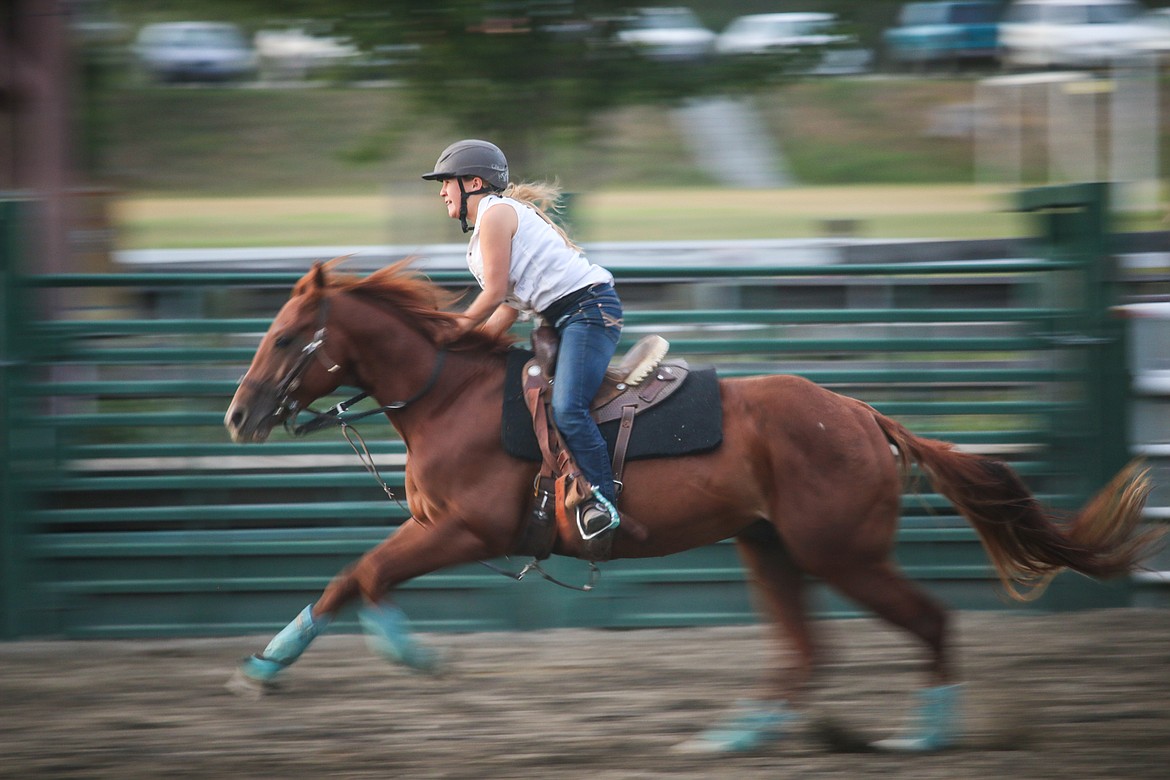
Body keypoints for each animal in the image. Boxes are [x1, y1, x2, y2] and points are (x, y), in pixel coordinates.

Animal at [225, 260, 1151, 748]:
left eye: (285, 336)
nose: (238, 415)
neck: (448, 396)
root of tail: (860, 415)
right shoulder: (432, 527)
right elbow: (349, 580)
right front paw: (268, 666)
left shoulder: (464, 530)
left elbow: (365, 576)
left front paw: (404, 656)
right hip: (770, 547)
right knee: (806, 651)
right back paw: (736, 737)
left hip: (840, 555)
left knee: (928, 620)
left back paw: (923, 734)